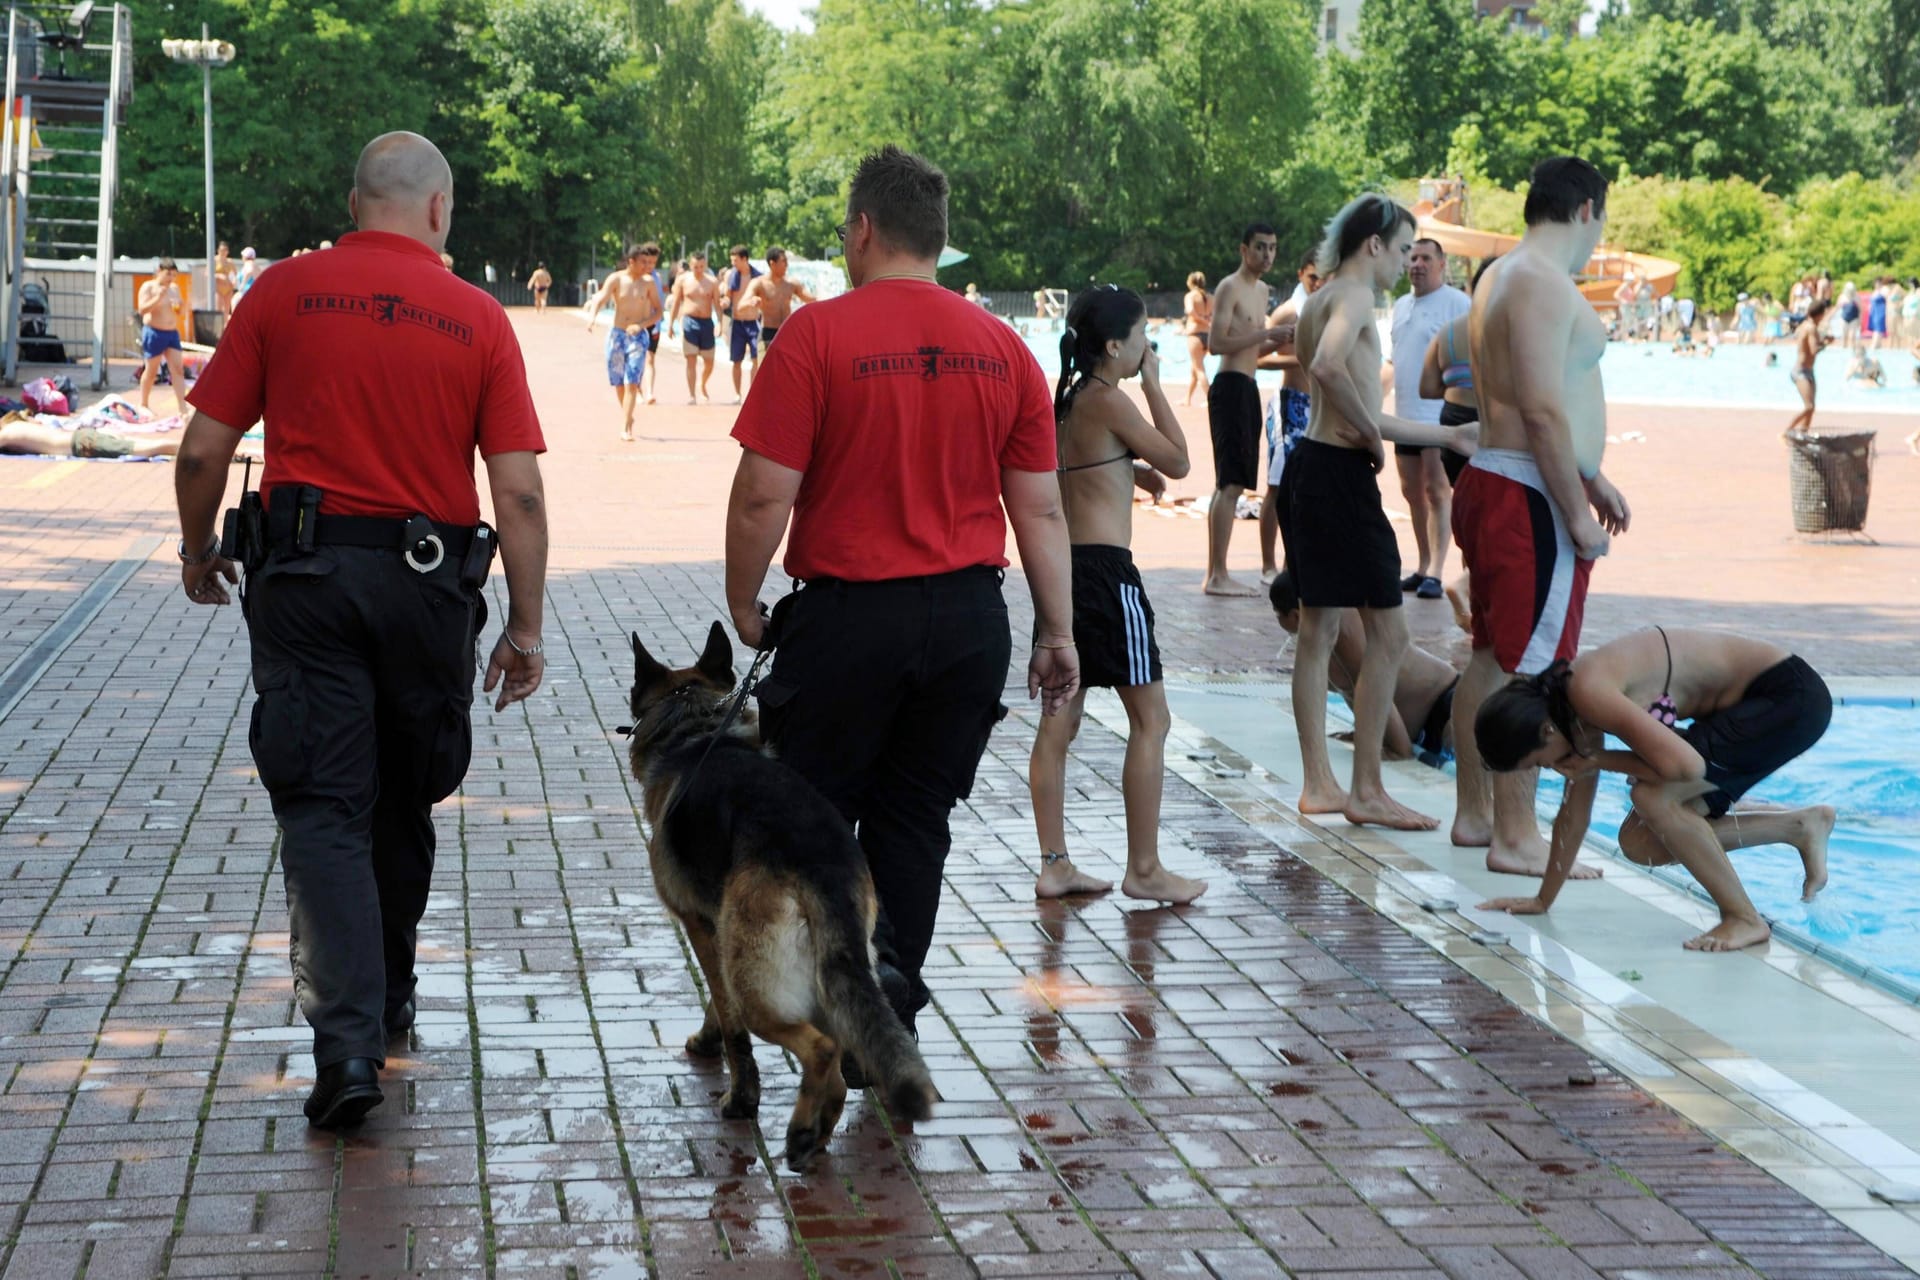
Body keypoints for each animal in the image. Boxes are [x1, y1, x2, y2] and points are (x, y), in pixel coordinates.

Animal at [625, 621, 933, 1174]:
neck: (695, 730)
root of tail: (820, 863)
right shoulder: (718, 928)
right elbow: (717, 1002)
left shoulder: (702, 927)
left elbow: (730, 1022)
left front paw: (739, 1094)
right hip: (833, 968)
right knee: (842, 1053)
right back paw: (815, 1132)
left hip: (759, 985)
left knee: (821, 1048)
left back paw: (801, 1127)